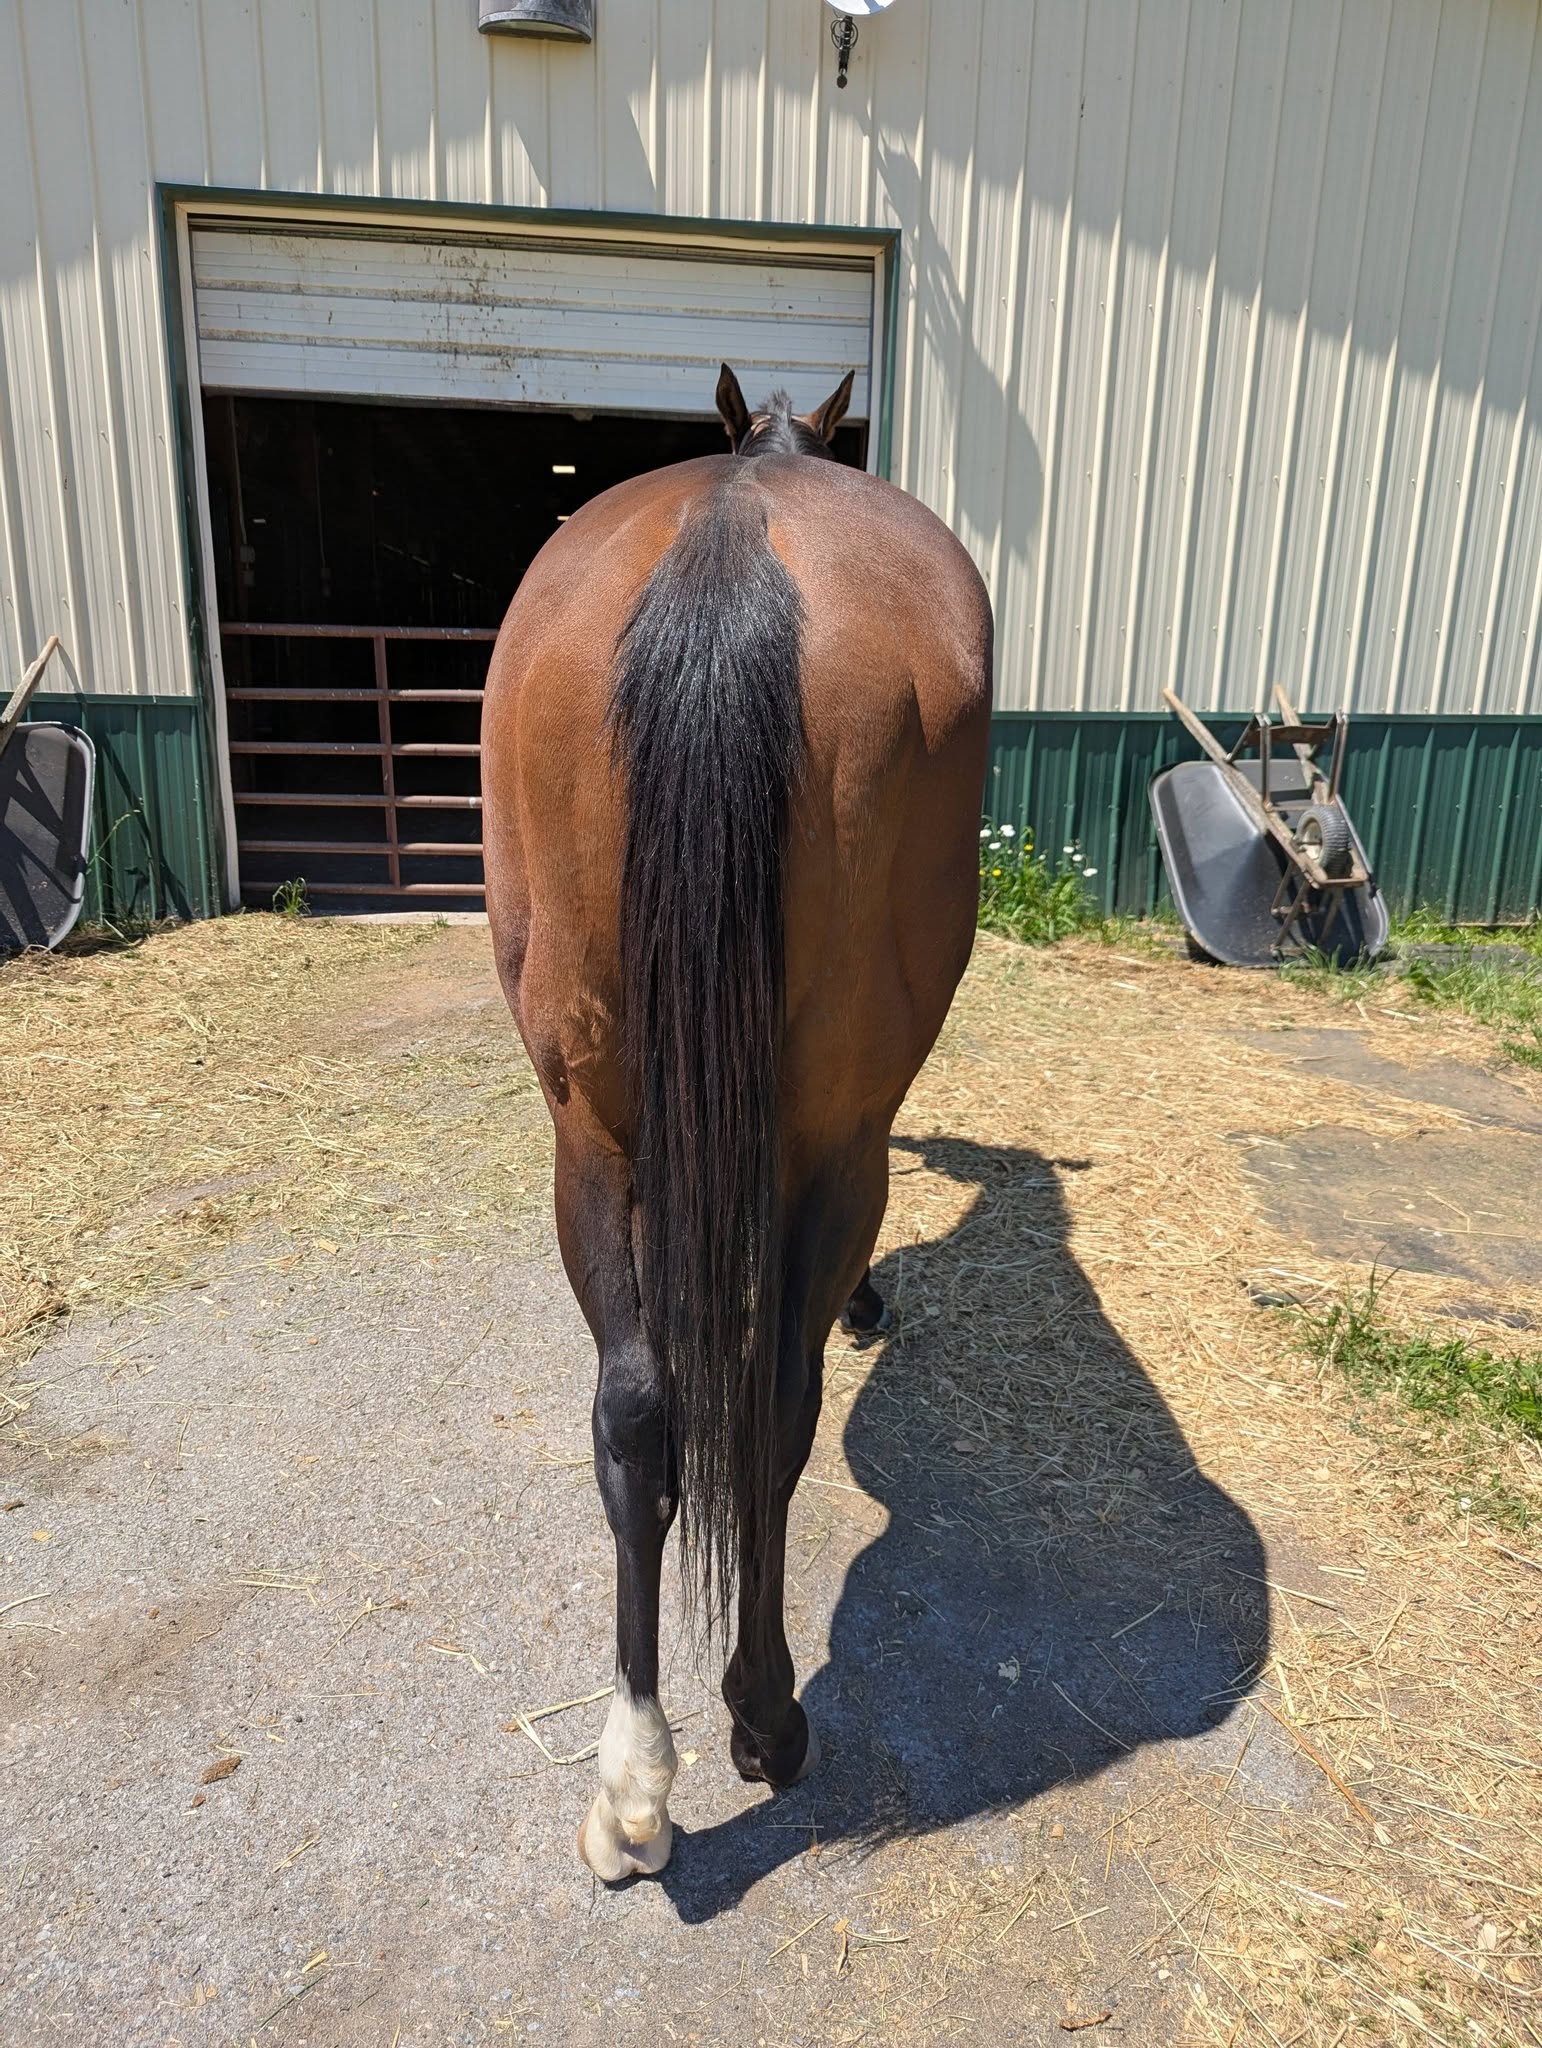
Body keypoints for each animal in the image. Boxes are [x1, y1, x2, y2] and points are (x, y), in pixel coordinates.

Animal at [480, 362, 993, 1880]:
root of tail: (733, 534)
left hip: (591, 1137)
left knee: (638, 1411)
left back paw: (636, 1779)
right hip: (828, 1142)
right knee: (766, 1412)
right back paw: (763, 1719)